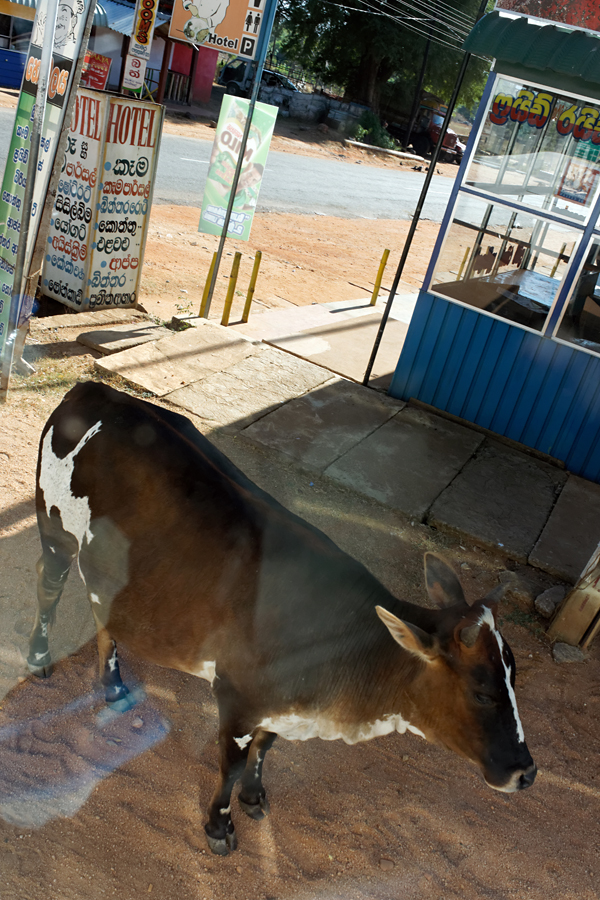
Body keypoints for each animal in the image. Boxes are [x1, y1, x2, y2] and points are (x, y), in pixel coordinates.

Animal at [28, 382, 536, 856]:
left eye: (514, 681)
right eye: (482, 692)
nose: (526, 772)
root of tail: (95, 389)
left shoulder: (281, 705)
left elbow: (266, 746)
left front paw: (254, 796)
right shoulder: (237, 698)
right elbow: (230, 764)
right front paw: (219, 826)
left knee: (104, 614)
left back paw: (113, 686)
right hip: (54, 530)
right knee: (48, 587)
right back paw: (38, 659)